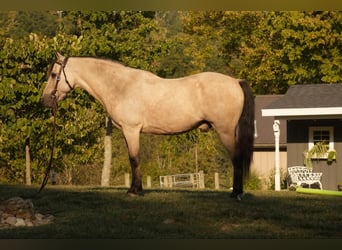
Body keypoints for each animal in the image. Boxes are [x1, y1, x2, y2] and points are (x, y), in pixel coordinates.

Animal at [41, 53, 254, 200]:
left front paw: (135, 191)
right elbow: (133, 159)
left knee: (236, 158)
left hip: (226, 131)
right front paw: (136, 189)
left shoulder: (132, 130)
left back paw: (236, 193)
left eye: (54, 74)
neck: (121, 87)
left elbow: (134, 159)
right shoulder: (129, 132)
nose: (45, 100)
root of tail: (236, 81)